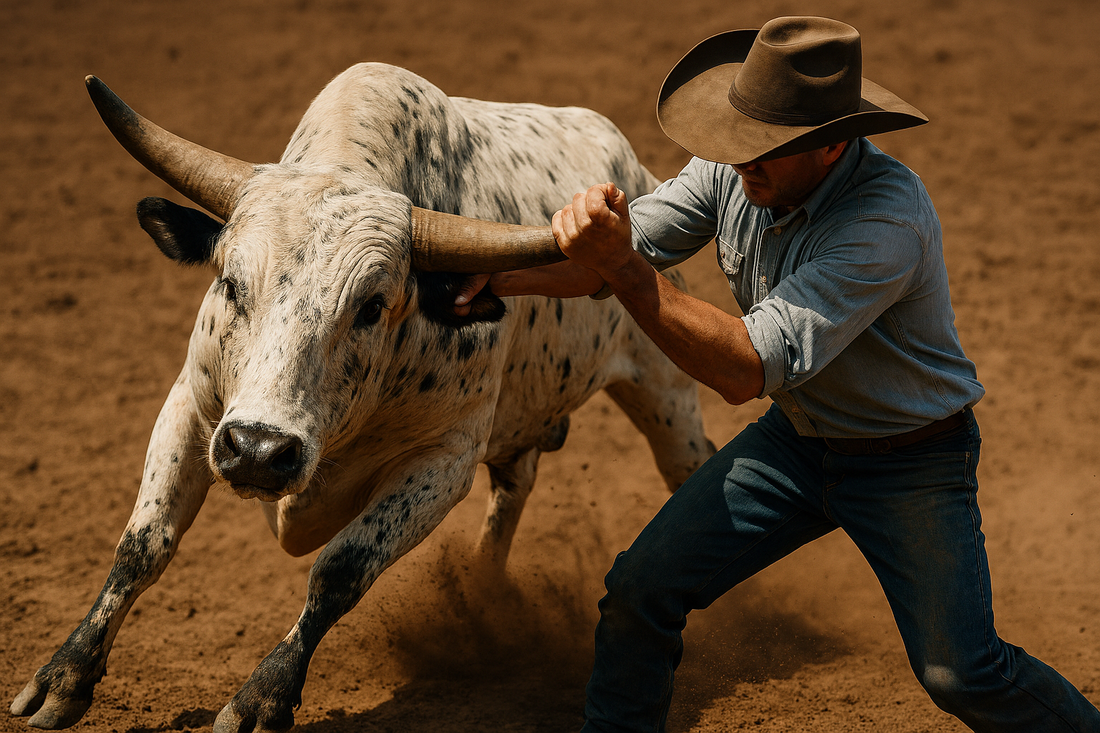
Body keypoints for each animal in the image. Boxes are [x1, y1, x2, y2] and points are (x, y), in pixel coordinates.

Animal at [10, 63, 713, 732]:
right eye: (230, 282)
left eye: (372, 306)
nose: (259, 451)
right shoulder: (195, 405)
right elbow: (144, 544)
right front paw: (64, 677)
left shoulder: (444, 462)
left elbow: (339, 571)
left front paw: (264, 697)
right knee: (516, 484)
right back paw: (486, 591)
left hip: (666, 392)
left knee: (690, 464)